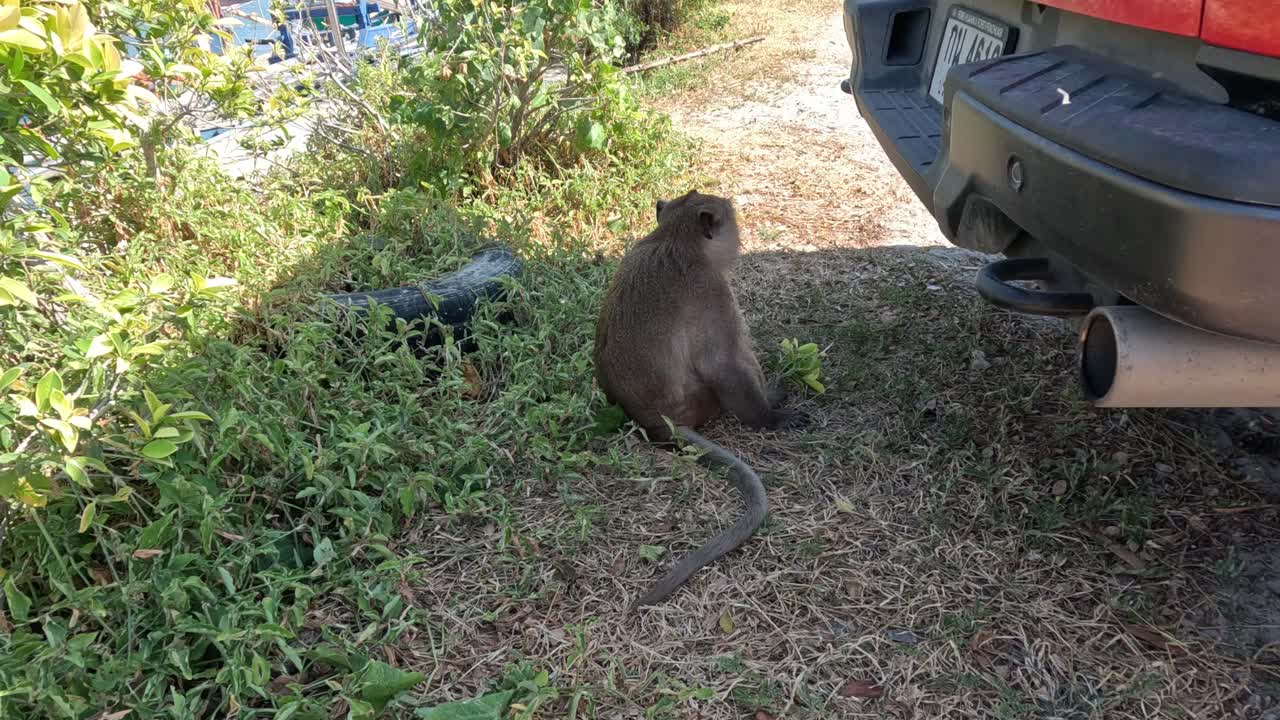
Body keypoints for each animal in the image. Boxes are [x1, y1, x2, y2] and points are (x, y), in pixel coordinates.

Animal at [591, 185, 798, 604]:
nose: (738, 236)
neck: (672, 237)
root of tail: (652, 421)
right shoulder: (712, 290)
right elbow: (724, 364)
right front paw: (770, 415)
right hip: (701, 401)